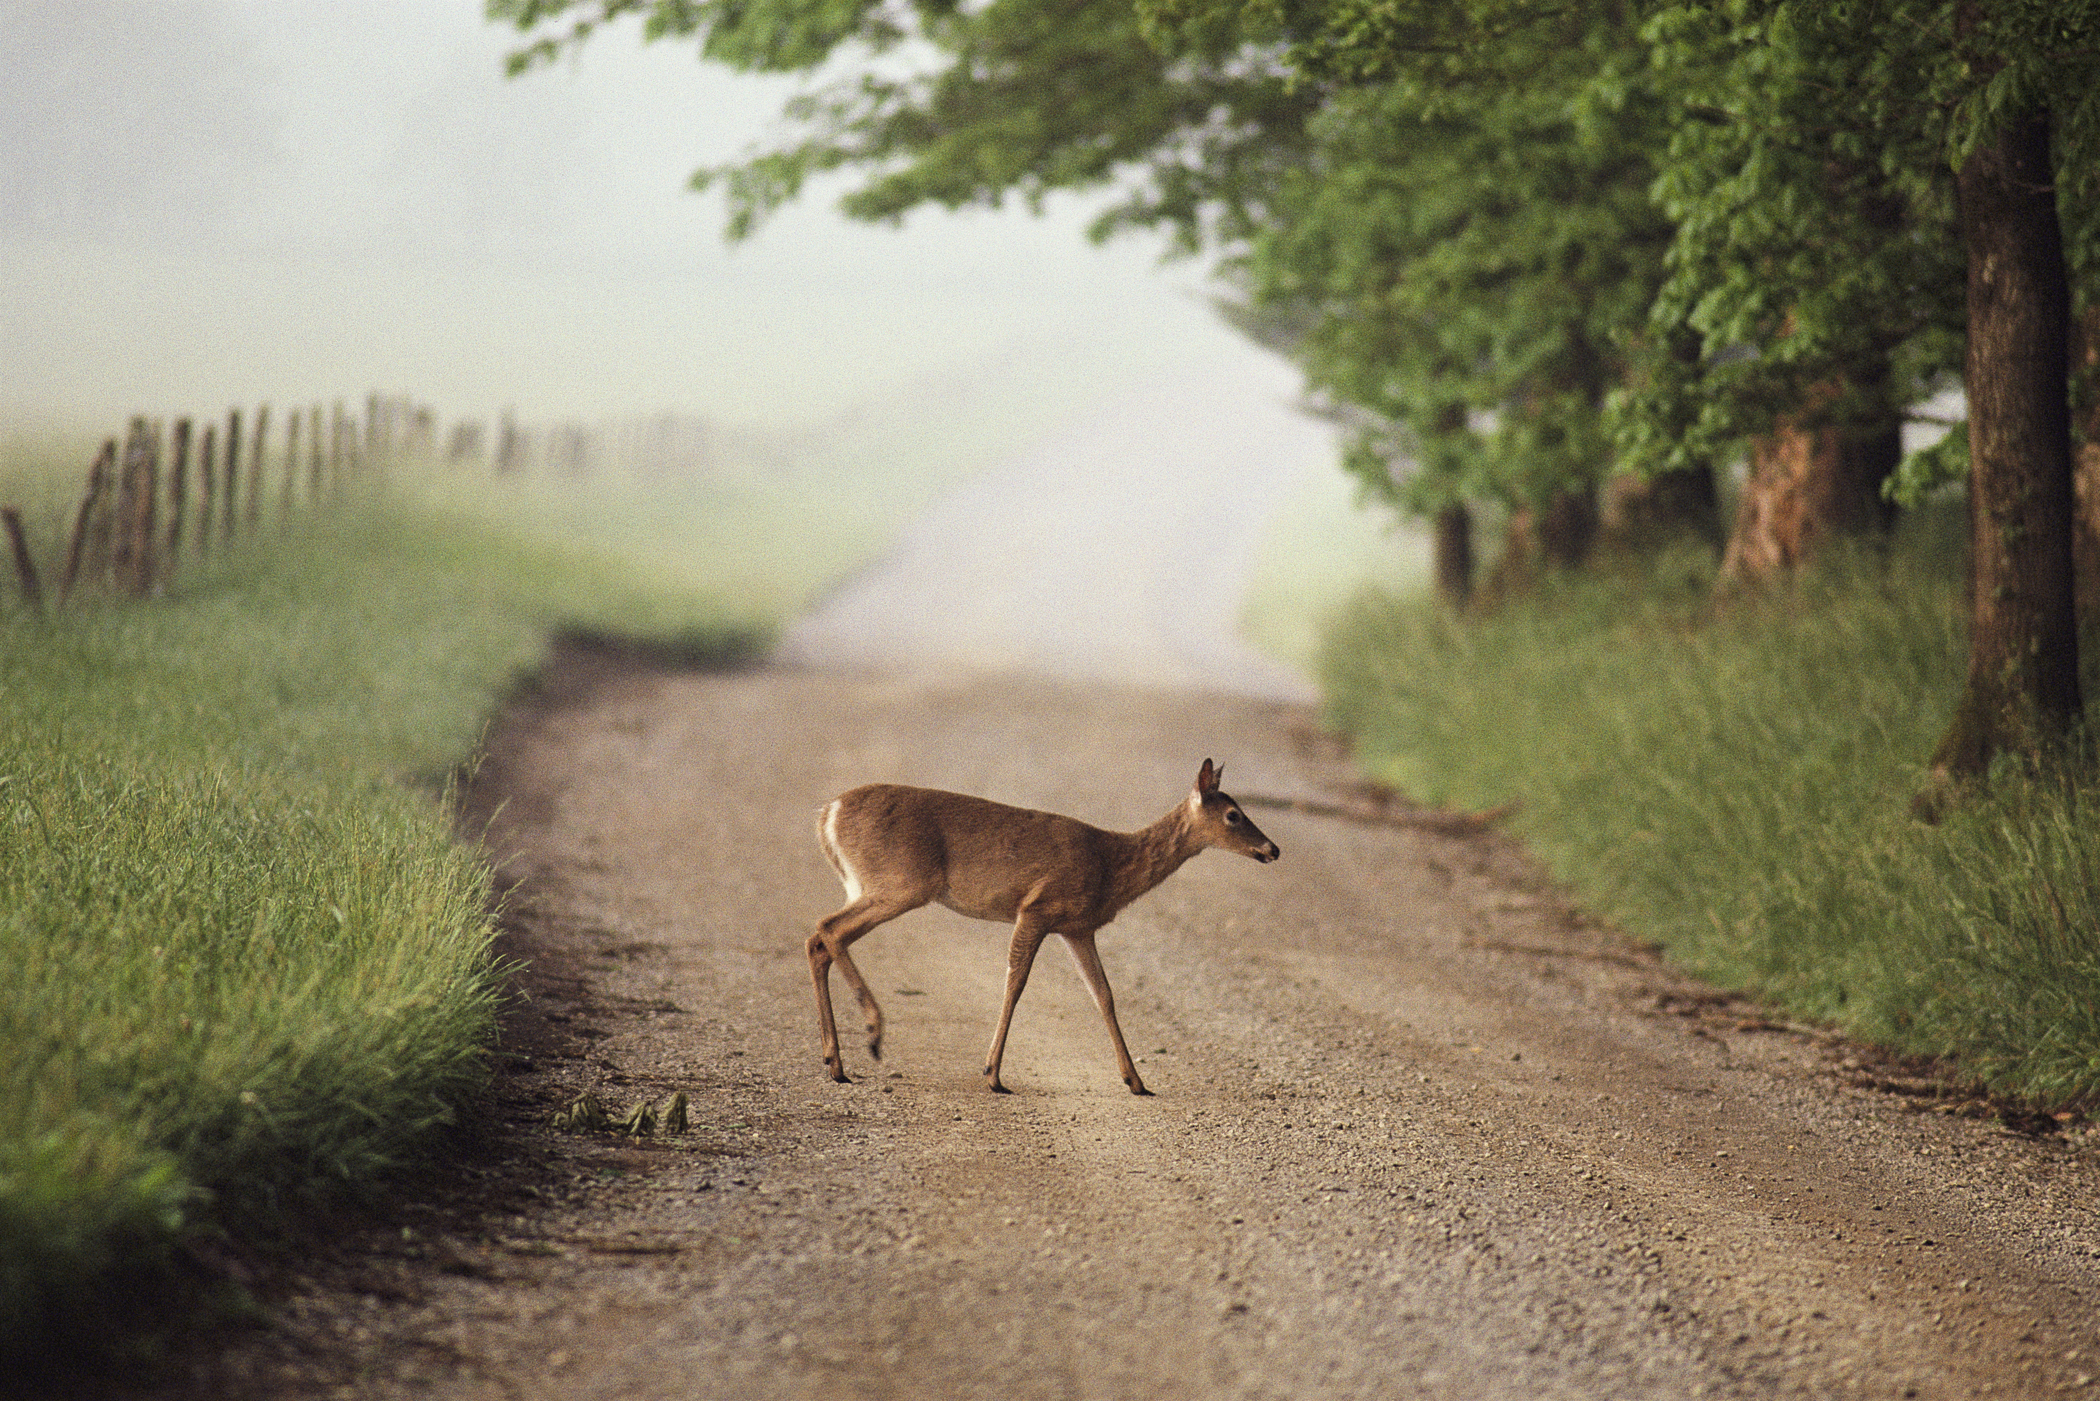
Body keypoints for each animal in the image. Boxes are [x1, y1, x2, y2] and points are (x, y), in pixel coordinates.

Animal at [802, 756, 1268, 1092]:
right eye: (1233, 814)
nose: (1273, 849)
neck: (1112, 865)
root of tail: (827, 814)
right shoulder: (1037, 907)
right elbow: (1016, 983)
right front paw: (993, 1074)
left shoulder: (1077, 928)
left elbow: (1104, 995)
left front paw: (1136, 1081)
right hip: (900, 884)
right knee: (828, 928)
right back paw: (872, 1032)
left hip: (868, 885)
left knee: (818, 939)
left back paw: (836, 1063)